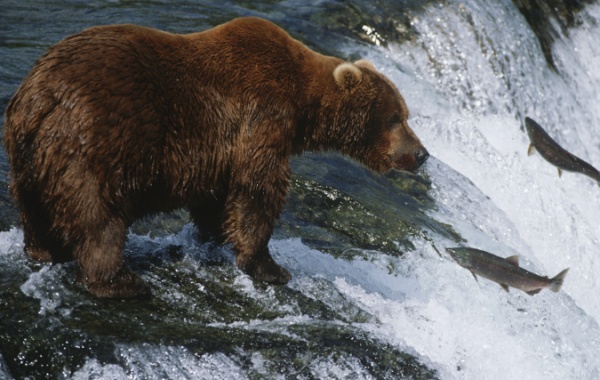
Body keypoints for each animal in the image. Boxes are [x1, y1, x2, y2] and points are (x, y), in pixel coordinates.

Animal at [2, 17, 428, 296]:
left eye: (406, 114)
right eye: (395, 117)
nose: (422, 154)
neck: (302, 102)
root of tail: (40, 94)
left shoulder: (218, 152)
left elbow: (216, 197)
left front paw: (216, 237)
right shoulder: (262, 115)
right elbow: (259, 189)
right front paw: (270, 267)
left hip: (28, 153)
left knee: (34, 205)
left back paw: (44, 250)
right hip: (97, 140)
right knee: (97, 214)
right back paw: (119, 281)